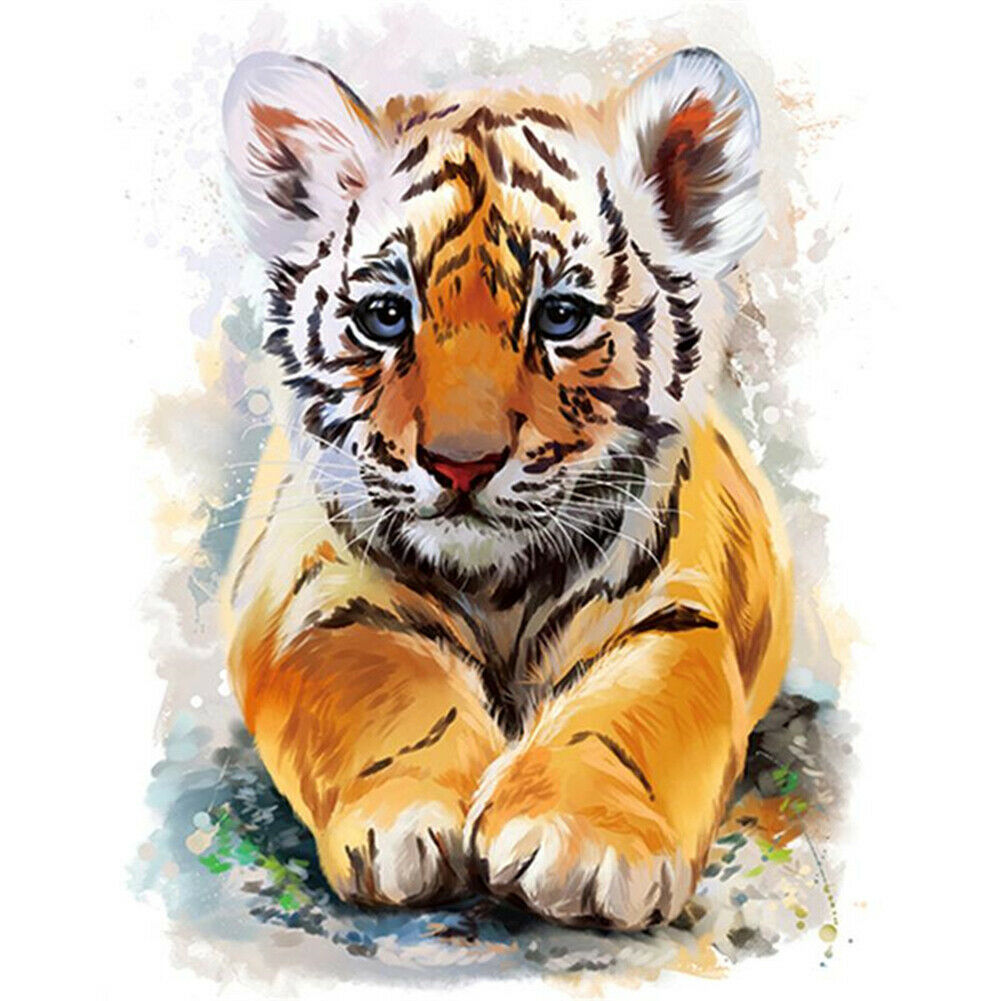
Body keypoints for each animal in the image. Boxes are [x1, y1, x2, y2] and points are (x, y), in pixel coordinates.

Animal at [220, 45, 792, 931]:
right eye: (386, 316)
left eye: (559, 317)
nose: (461, 462)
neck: (497, 586)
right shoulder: (314, 597)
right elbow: (391, 688)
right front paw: (414, 813)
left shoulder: (674, 611)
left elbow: (627, 719)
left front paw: (583, 842)